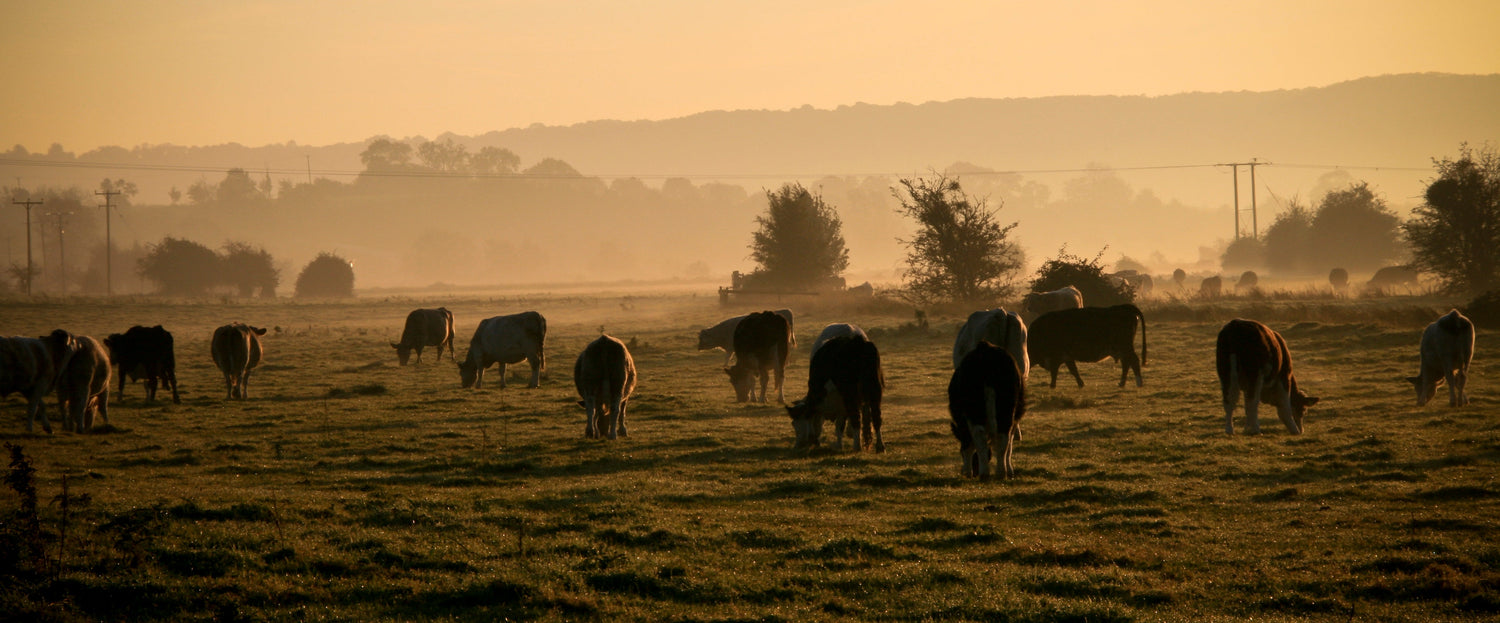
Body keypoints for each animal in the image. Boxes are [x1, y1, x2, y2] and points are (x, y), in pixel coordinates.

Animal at [949, 342, 1026, 480]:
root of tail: (985, 352)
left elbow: (967, 445)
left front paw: (966, 471)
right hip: (1005, 409)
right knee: (1002, 437)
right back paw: (999, 472)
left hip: (975, 410)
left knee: (980, 436)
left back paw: (984, 472)